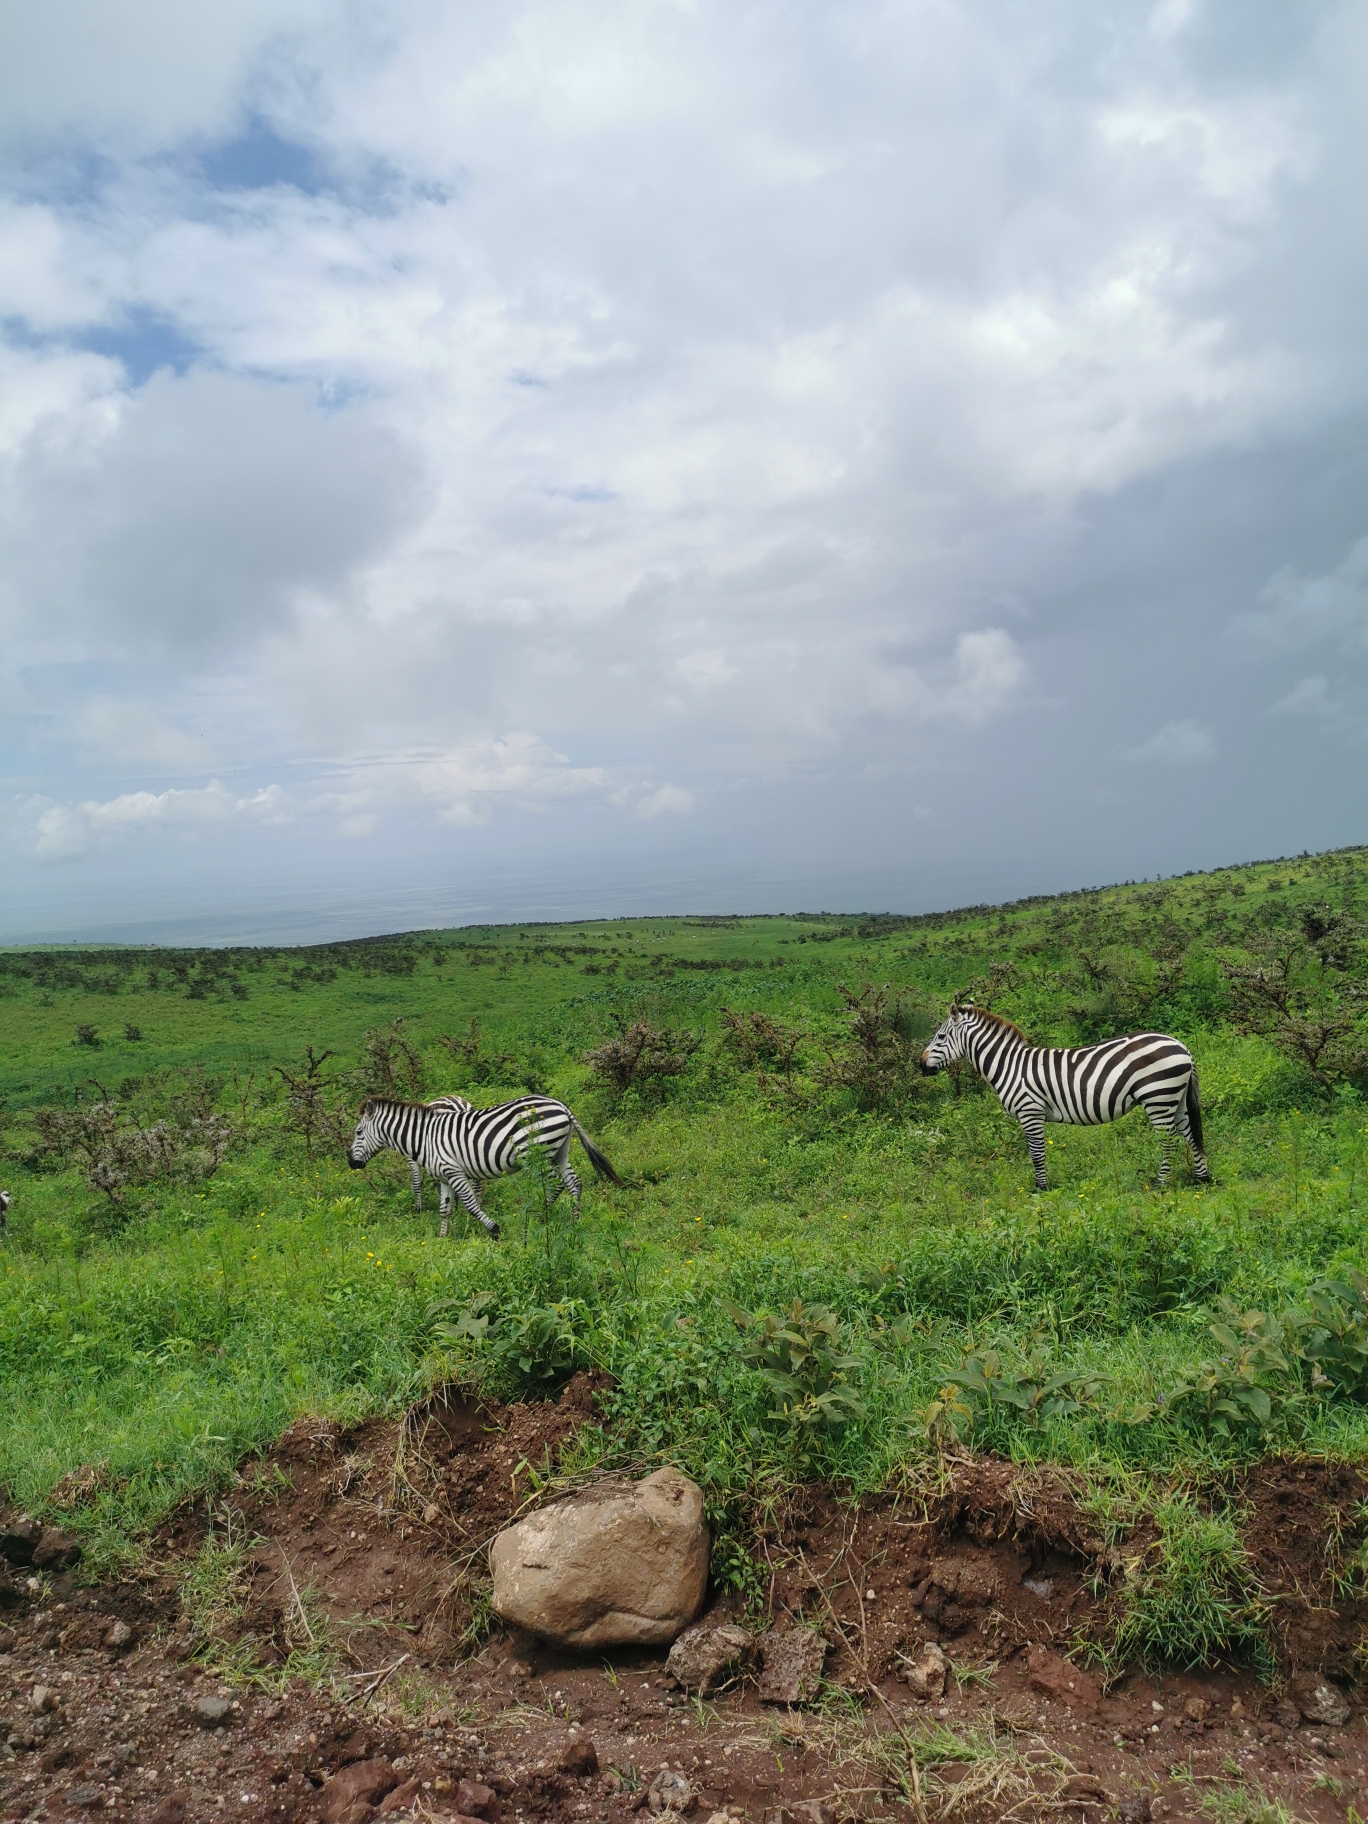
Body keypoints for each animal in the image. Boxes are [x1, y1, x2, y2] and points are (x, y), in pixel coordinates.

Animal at [344, 1094, 623, 1240]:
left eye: (358, 1132)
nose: (350, 1163)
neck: (425, 1138)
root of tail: (559, 1104)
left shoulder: (454, 1171)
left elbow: (470, 1203)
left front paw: (494, 1230)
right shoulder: (443, 1177)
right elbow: (445, 1209)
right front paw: (442, 1238)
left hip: (538, 1154)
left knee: (555, 1183)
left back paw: (538, 1214)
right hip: (559, 1151)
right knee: (573, 1183)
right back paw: (574, 1222)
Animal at [922, 999, 1211, 1196]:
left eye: (940, 1036)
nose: (920, 1065)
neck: (1010, 1066)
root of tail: (1182, 1046)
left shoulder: (1030, 1112)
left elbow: (1036, 1153)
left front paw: (1041, 1188)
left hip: (1158, 1097)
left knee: (1170, 1142)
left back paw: (1161, 1183)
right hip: (1176, 1099)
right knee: (1191, 1135)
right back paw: (1202, 1179)